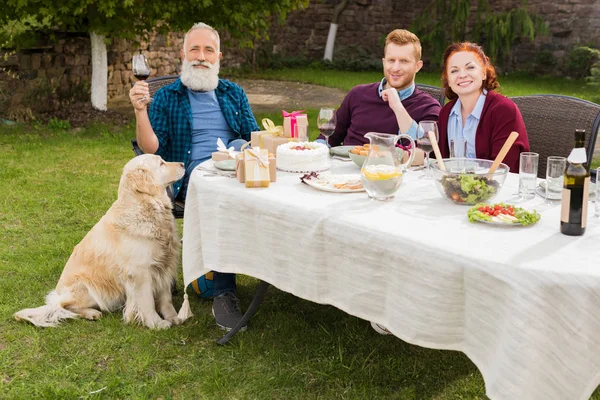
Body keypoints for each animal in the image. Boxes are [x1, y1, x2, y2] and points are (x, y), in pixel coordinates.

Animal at [16, 153, 185, 328]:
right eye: (161, 163)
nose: (183, 164)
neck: (146, 207)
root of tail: (57, 294)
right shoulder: (140, 272)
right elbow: (147, 302)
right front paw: (156, 323)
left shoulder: (164, 264)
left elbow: (166, 298)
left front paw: (173, 316)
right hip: (90, 288)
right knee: (64, 306)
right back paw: (91, 313)